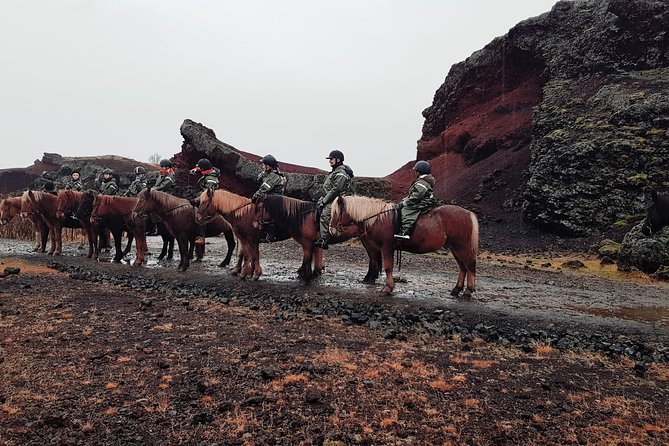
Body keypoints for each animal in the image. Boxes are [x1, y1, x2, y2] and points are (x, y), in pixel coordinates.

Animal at [328, 195, 474, 296]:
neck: (378, 218)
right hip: (455, 248)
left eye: (336, 213)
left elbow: (387, 267)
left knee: (470, 265)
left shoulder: (386, 247)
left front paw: (388, 288)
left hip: (461, 247)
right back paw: (456, 290)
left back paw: (468, 290)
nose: (332, 230)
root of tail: (468, 213)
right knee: (463, 267)